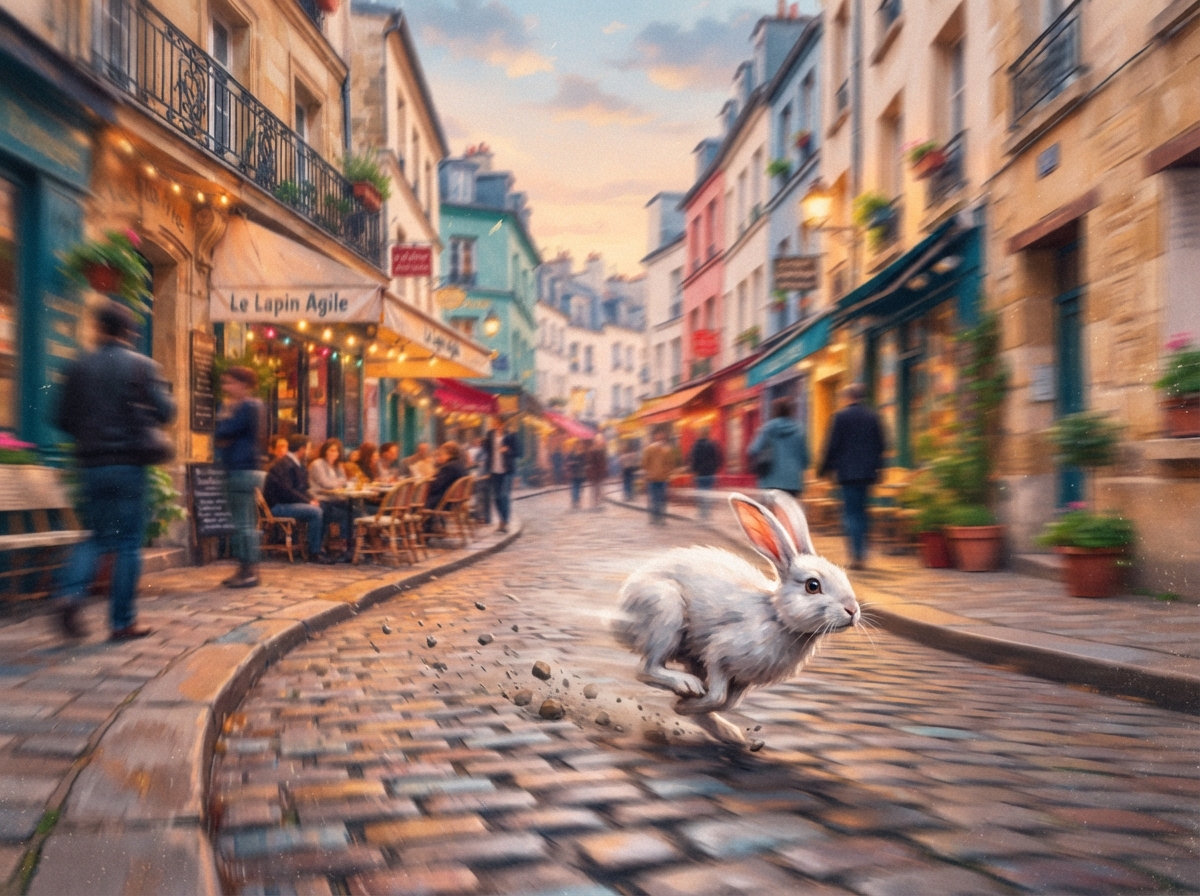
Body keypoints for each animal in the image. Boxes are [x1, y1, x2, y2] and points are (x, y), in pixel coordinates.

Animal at [614, 489, 860, 750]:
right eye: (813, 586)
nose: (852, 610)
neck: (778, 617)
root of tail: (617, 619)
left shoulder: (743, 680)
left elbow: (729, 703)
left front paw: (683, 707)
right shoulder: (719, 654)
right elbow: (718, 695)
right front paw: (687, 702)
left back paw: (731, 734)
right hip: (665, 615)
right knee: (646, 669)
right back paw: (687, 686)